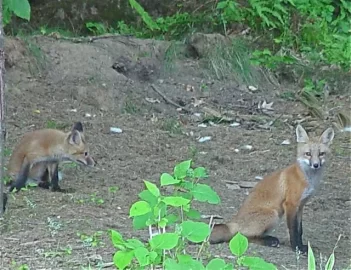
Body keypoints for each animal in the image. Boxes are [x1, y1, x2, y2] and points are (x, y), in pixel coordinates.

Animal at [209, 124, 336, 253]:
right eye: (308, 154)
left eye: (321, 153)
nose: (316, 165)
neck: (308, 179)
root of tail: (234, 222)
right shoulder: (290, 204)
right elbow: (293, 230)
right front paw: (296, 248)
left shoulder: (300, 206)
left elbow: (300, 230)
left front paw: (302, 246)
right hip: (273, 214)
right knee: (242, 236)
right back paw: (269, 241)